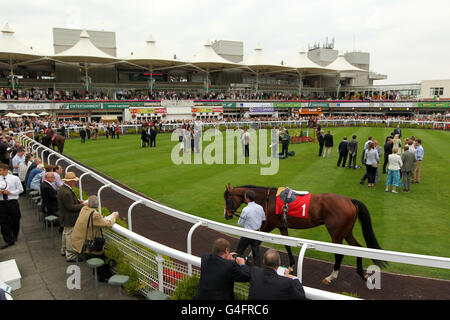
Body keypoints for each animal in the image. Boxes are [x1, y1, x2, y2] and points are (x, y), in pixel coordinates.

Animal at [225, 184, 386, 284]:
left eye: (227, 199)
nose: (227, 215)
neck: (268, 199)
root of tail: (349, 200)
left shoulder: (270, 225)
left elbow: (257, 239)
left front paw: (247, 256)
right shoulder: (281, 226)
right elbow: (287, 245)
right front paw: (290, 265)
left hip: (336, 233)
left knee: (339, 254)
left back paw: (331, 276)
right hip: (346, 232)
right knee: (357, 248)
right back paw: (362, 273)